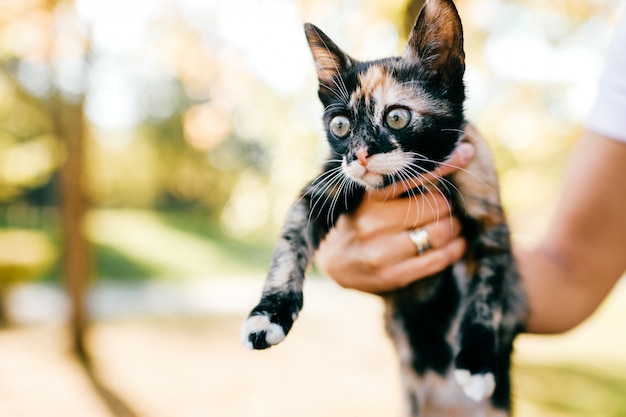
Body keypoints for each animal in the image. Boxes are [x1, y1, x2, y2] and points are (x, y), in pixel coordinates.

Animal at [241, 1, 524, 414]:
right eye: (339, 125)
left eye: (397, 116)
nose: (359, 154)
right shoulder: (325, 184)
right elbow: (289, 246)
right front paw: (268, 315)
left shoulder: (489, 216)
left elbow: (487, 293)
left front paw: (476, 361)